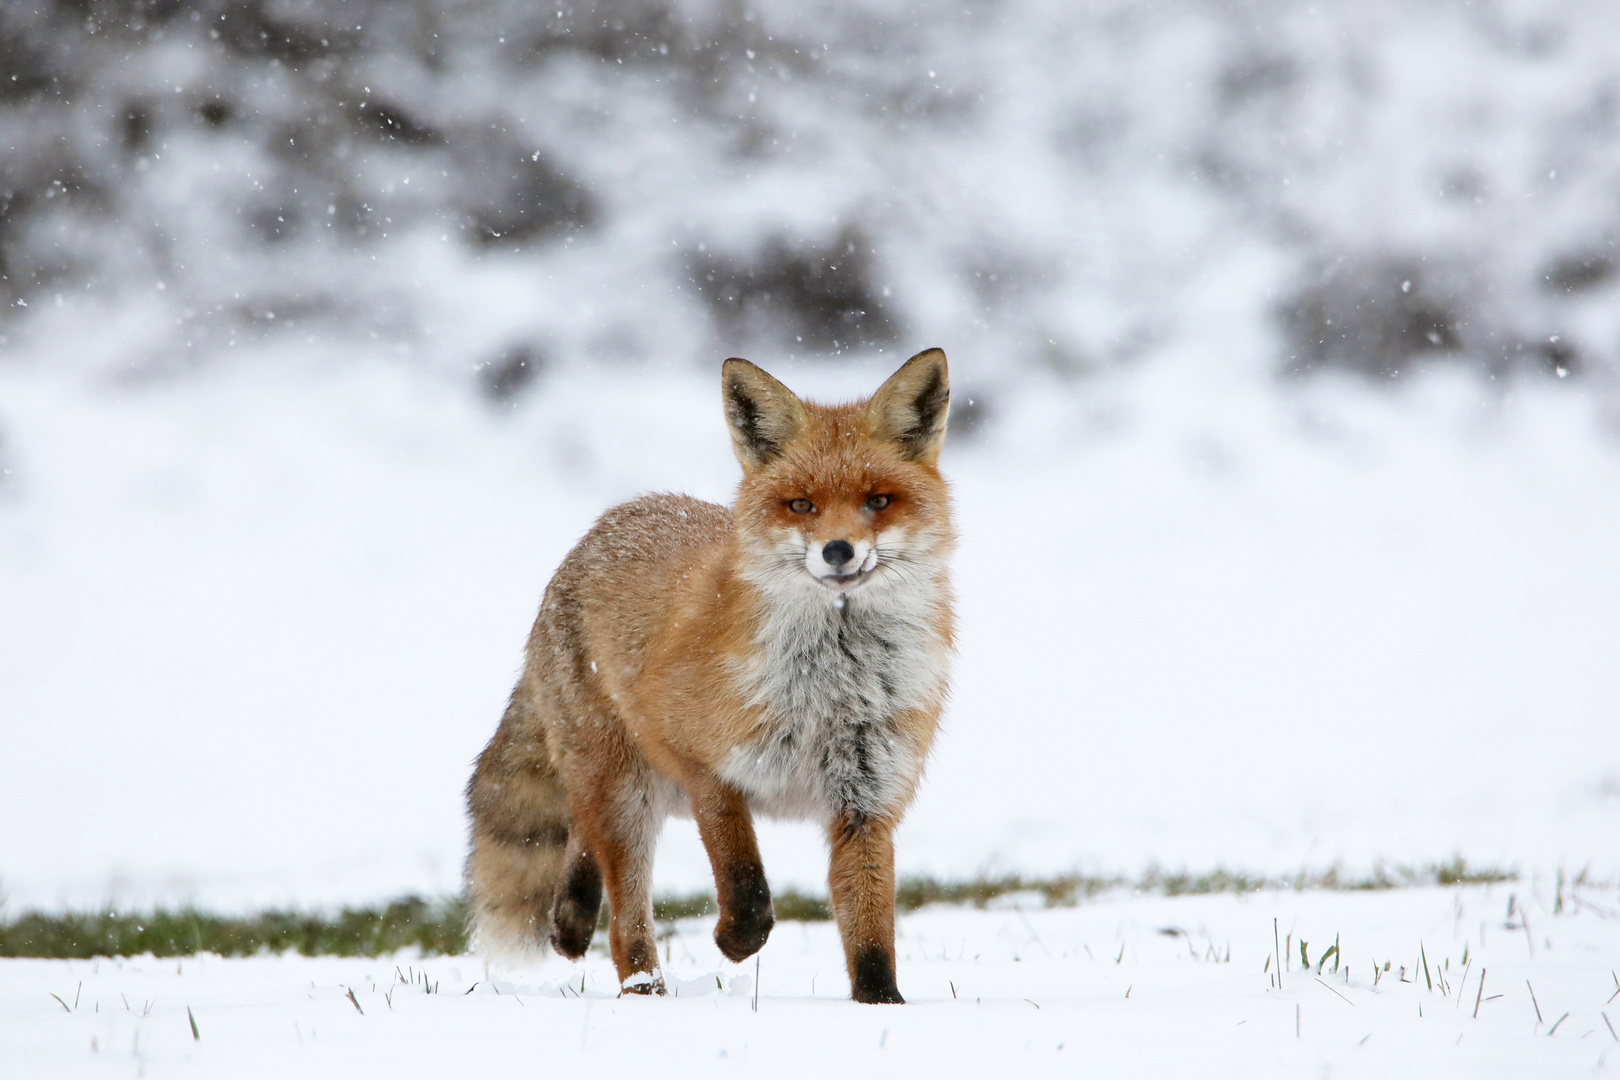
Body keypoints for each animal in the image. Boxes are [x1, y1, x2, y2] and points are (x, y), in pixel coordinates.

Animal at [463, 348, 952, 1003]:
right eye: (801, 505)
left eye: (878, 501)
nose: (838, 550)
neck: (829, 690)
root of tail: (607, 523)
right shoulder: (702, 766)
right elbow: (746, 887)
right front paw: (733, 942)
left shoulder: (866, 800)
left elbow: (871, 932)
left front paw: (883, 1007)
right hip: (629, 791)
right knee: (623, 918)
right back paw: (642, 988)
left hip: (636, 792)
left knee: (582, 837)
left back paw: (570, 919)